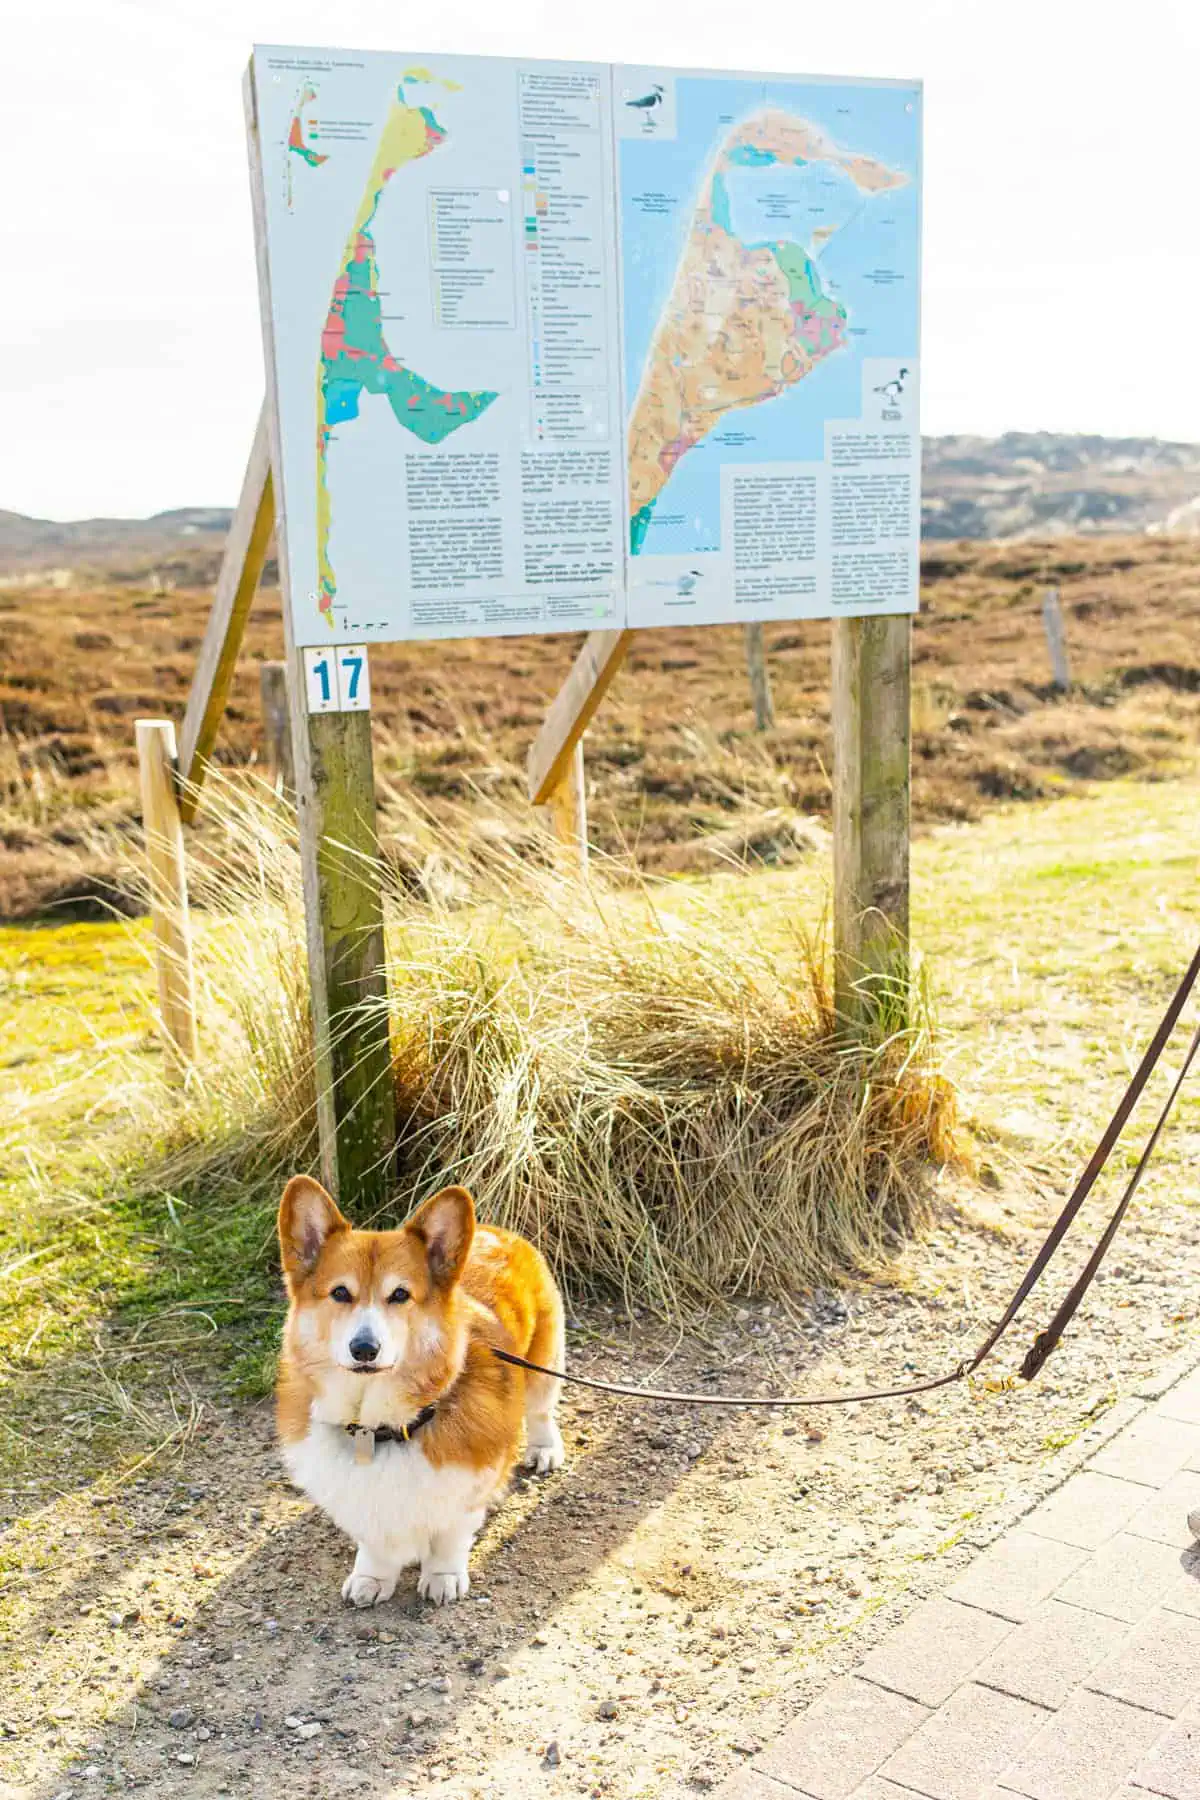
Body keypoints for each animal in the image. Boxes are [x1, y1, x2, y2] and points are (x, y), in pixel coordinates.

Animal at [277, 1173, 568, 1612]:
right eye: (340, 1293)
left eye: (400, 1294)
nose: (365, 1349)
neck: (380, 1426)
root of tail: (498, 1230)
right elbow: (375, 1545)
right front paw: (371, 1579)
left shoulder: (462, 1493)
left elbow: (450, 1536)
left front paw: (442, 1577)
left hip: (543, 1364)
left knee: (539, 1412)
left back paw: (544, 1450)